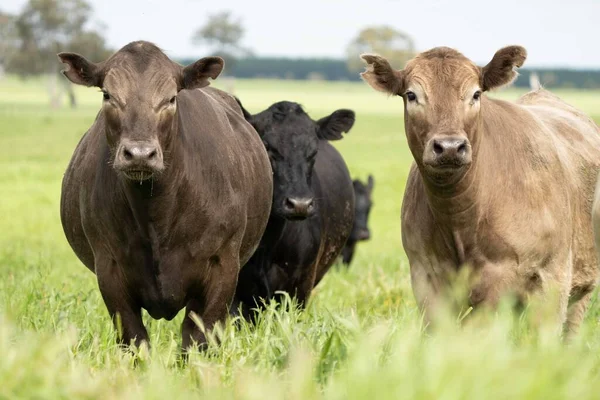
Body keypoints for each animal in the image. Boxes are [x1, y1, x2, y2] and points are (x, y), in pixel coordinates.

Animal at [57, 41, 274, 350]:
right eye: (108, 95)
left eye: (171, 98)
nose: (139, 154)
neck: (156, 215)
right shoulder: (109, 271)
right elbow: (135, 340)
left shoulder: (222, 269)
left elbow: (197, 339)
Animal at [360, 45, 600, 336]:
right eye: (411, 95)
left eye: (476, 94)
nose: (450, 147)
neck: (460, 219)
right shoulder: (425, 277)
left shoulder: (547, 280)